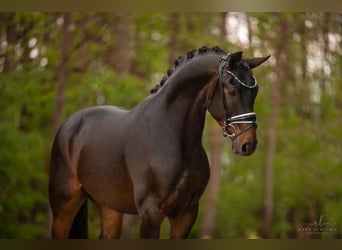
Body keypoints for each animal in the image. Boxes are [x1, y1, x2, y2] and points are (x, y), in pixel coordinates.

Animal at [48, 45, 270, 238]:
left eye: (255, 92)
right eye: (232, 91)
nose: (248, 144)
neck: (174, 139)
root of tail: (70, 124)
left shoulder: (186, 214)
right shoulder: (151, 214)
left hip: (109, 206)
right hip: (63, 208)